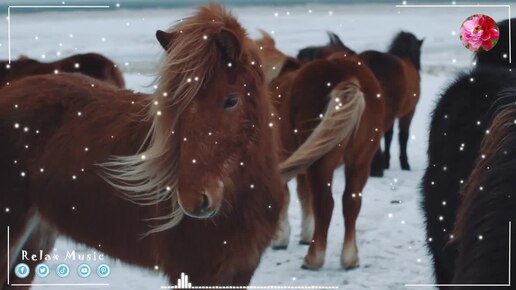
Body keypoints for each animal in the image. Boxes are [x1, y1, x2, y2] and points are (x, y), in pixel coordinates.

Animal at [256, 31, 384, 270]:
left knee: (325, 203)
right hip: (359, 160)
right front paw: (304, 234)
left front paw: (281, 238)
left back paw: (313, 259)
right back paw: (349, 258)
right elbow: (303, 194)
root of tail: (348, 76)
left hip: (322, 162)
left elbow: (287, 195)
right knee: (351, 201)